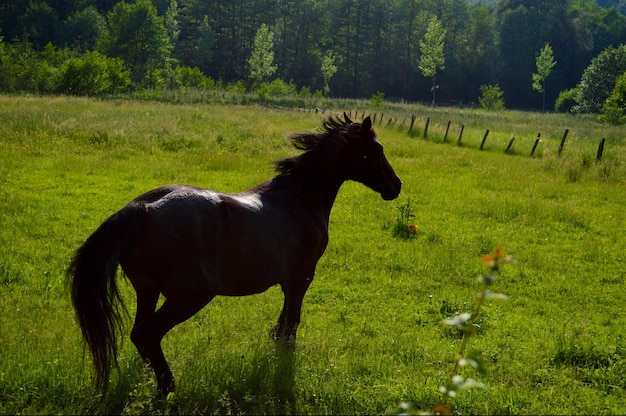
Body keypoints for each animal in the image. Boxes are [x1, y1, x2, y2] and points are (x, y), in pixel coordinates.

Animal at [67, 114, 400, 396]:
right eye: (377, 149)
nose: (396, 186)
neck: (299, 200)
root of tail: (143, 209)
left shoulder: (287, 282)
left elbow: (280, 326)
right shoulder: (301, 278)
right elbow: (291, 325)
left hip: (148, 290)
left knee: (139, 334)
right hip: (189, 296)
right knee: (148, 334)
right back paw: (167, 387)